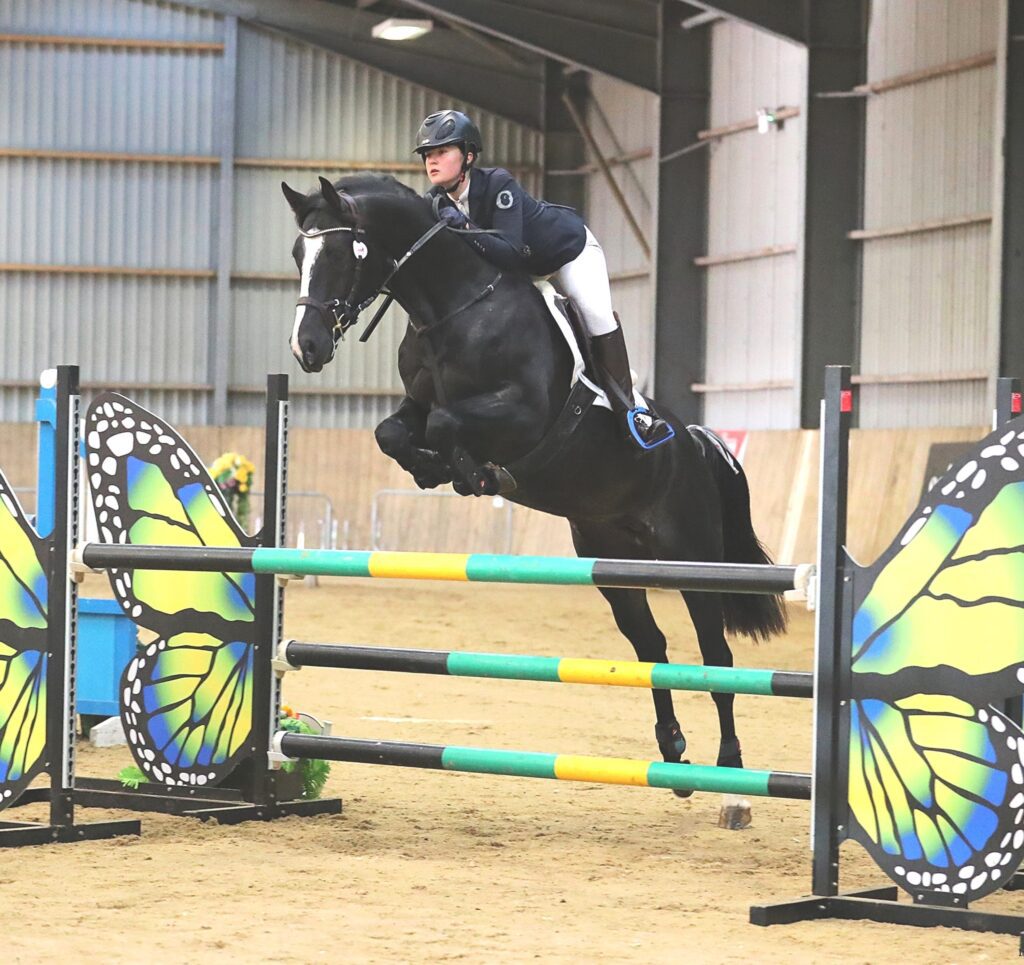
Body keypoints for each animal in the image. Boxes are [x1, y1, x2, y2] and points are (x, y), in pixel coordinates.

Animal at [282, 173, 787, 828]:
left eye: (346, 253)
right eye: (299, 255)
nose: (307, 348)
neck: (452, 306)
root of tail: (699, 442)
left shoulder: (522, 414)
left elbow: (447, 423)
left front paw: (475, 472)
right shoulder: (415, 404)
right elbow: (394, 432)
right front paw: (437, 470)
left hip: (693, 559)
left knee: (715, 655)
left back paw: (732, 786)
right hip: (612, 560)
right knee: (651, 646)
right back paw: (674, 754)